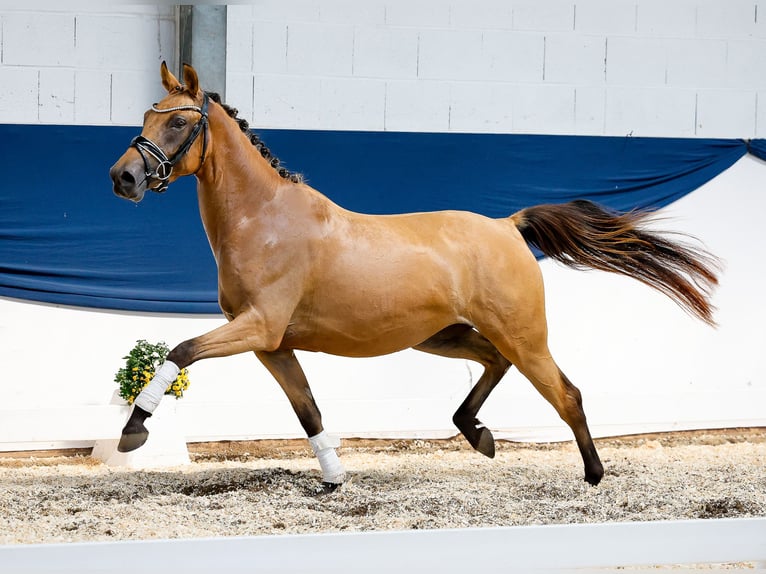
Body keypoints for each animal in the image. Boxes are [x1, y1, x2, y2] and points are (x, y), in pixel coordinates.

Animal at [108, 64, 720, 490]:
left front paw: (133, 432)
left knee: (566, 394)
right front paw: (333, 480)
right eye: (145, 118)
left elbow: (181, 351)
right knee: (494, 364)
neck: (266, 220)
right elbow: (308, 409)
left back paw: (592, 476)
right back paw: (479, 435)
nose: (123, 177)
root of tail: (507, 226)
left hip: (523, 335)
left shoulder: (258, 327)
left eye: (178, 121)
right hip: (444, 335)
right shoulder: (272, 344)